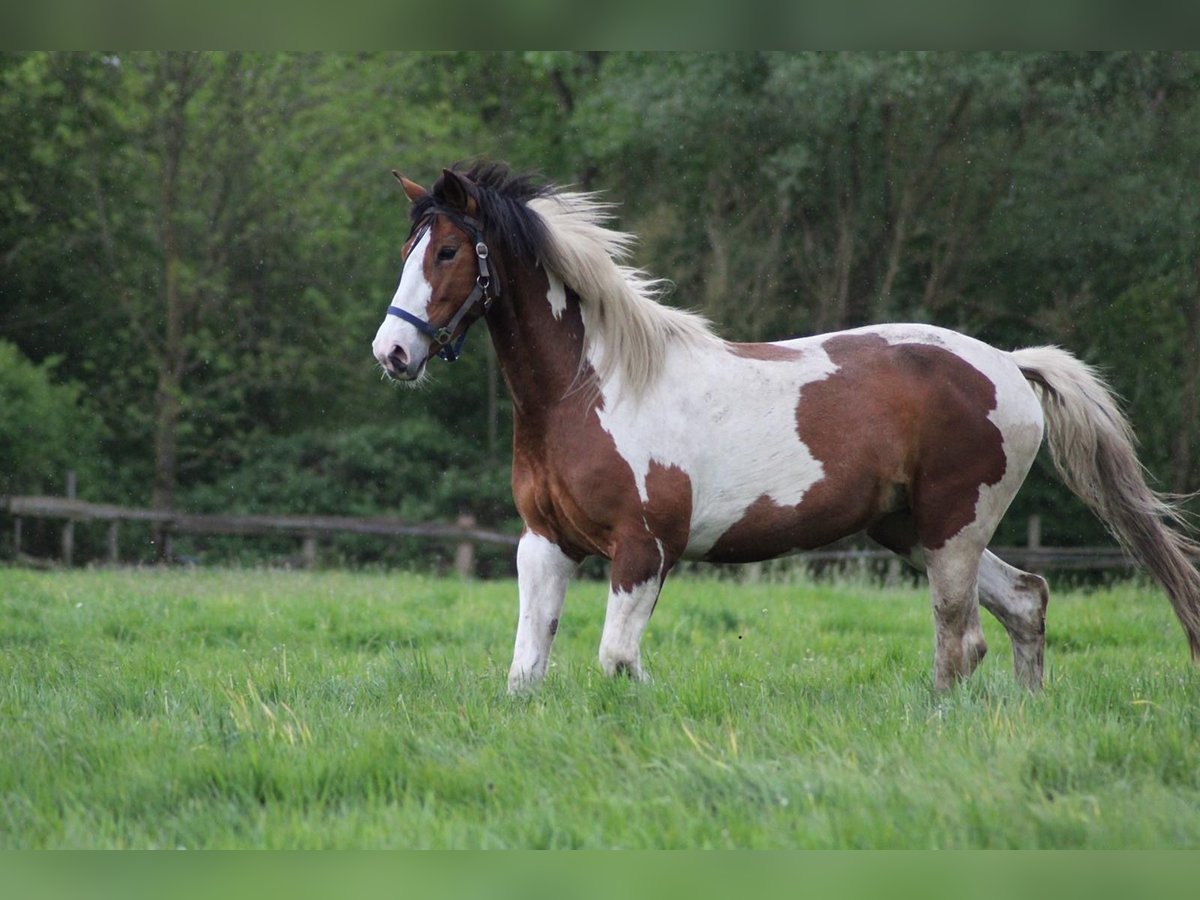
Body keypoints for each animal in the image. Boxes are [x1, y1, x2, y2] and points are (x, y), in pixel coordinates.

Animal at [369, 162, 1200, 696]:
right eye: (407, 249)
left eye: (449, 250)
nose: (393, 353)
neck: (591, 388)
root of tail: (1009, 365)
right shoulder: (545, 544)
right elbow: (526, 672)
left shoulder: (644, 548)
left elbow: (617, 659)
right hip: (912, 528)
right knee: (1025, 601)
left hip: (954, 527)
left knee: (960, 639)